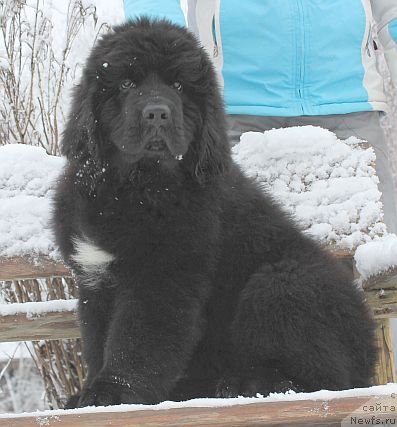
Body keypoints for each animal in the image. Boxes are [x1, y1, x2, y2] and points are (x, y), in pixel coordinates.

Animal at [54, 18, 376, 410]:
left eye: (179, 85)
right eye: (127, 83)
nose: (157, 112)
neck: (137, 187)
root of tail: (369, 355)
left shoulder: (162, 274)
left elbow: (136, 340)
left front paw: (112, 393)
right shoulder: (93, 277)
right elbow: (99, 340)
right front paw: (90, 392)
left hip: (284, 284)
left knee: (323, 378)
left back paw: (247, 383)